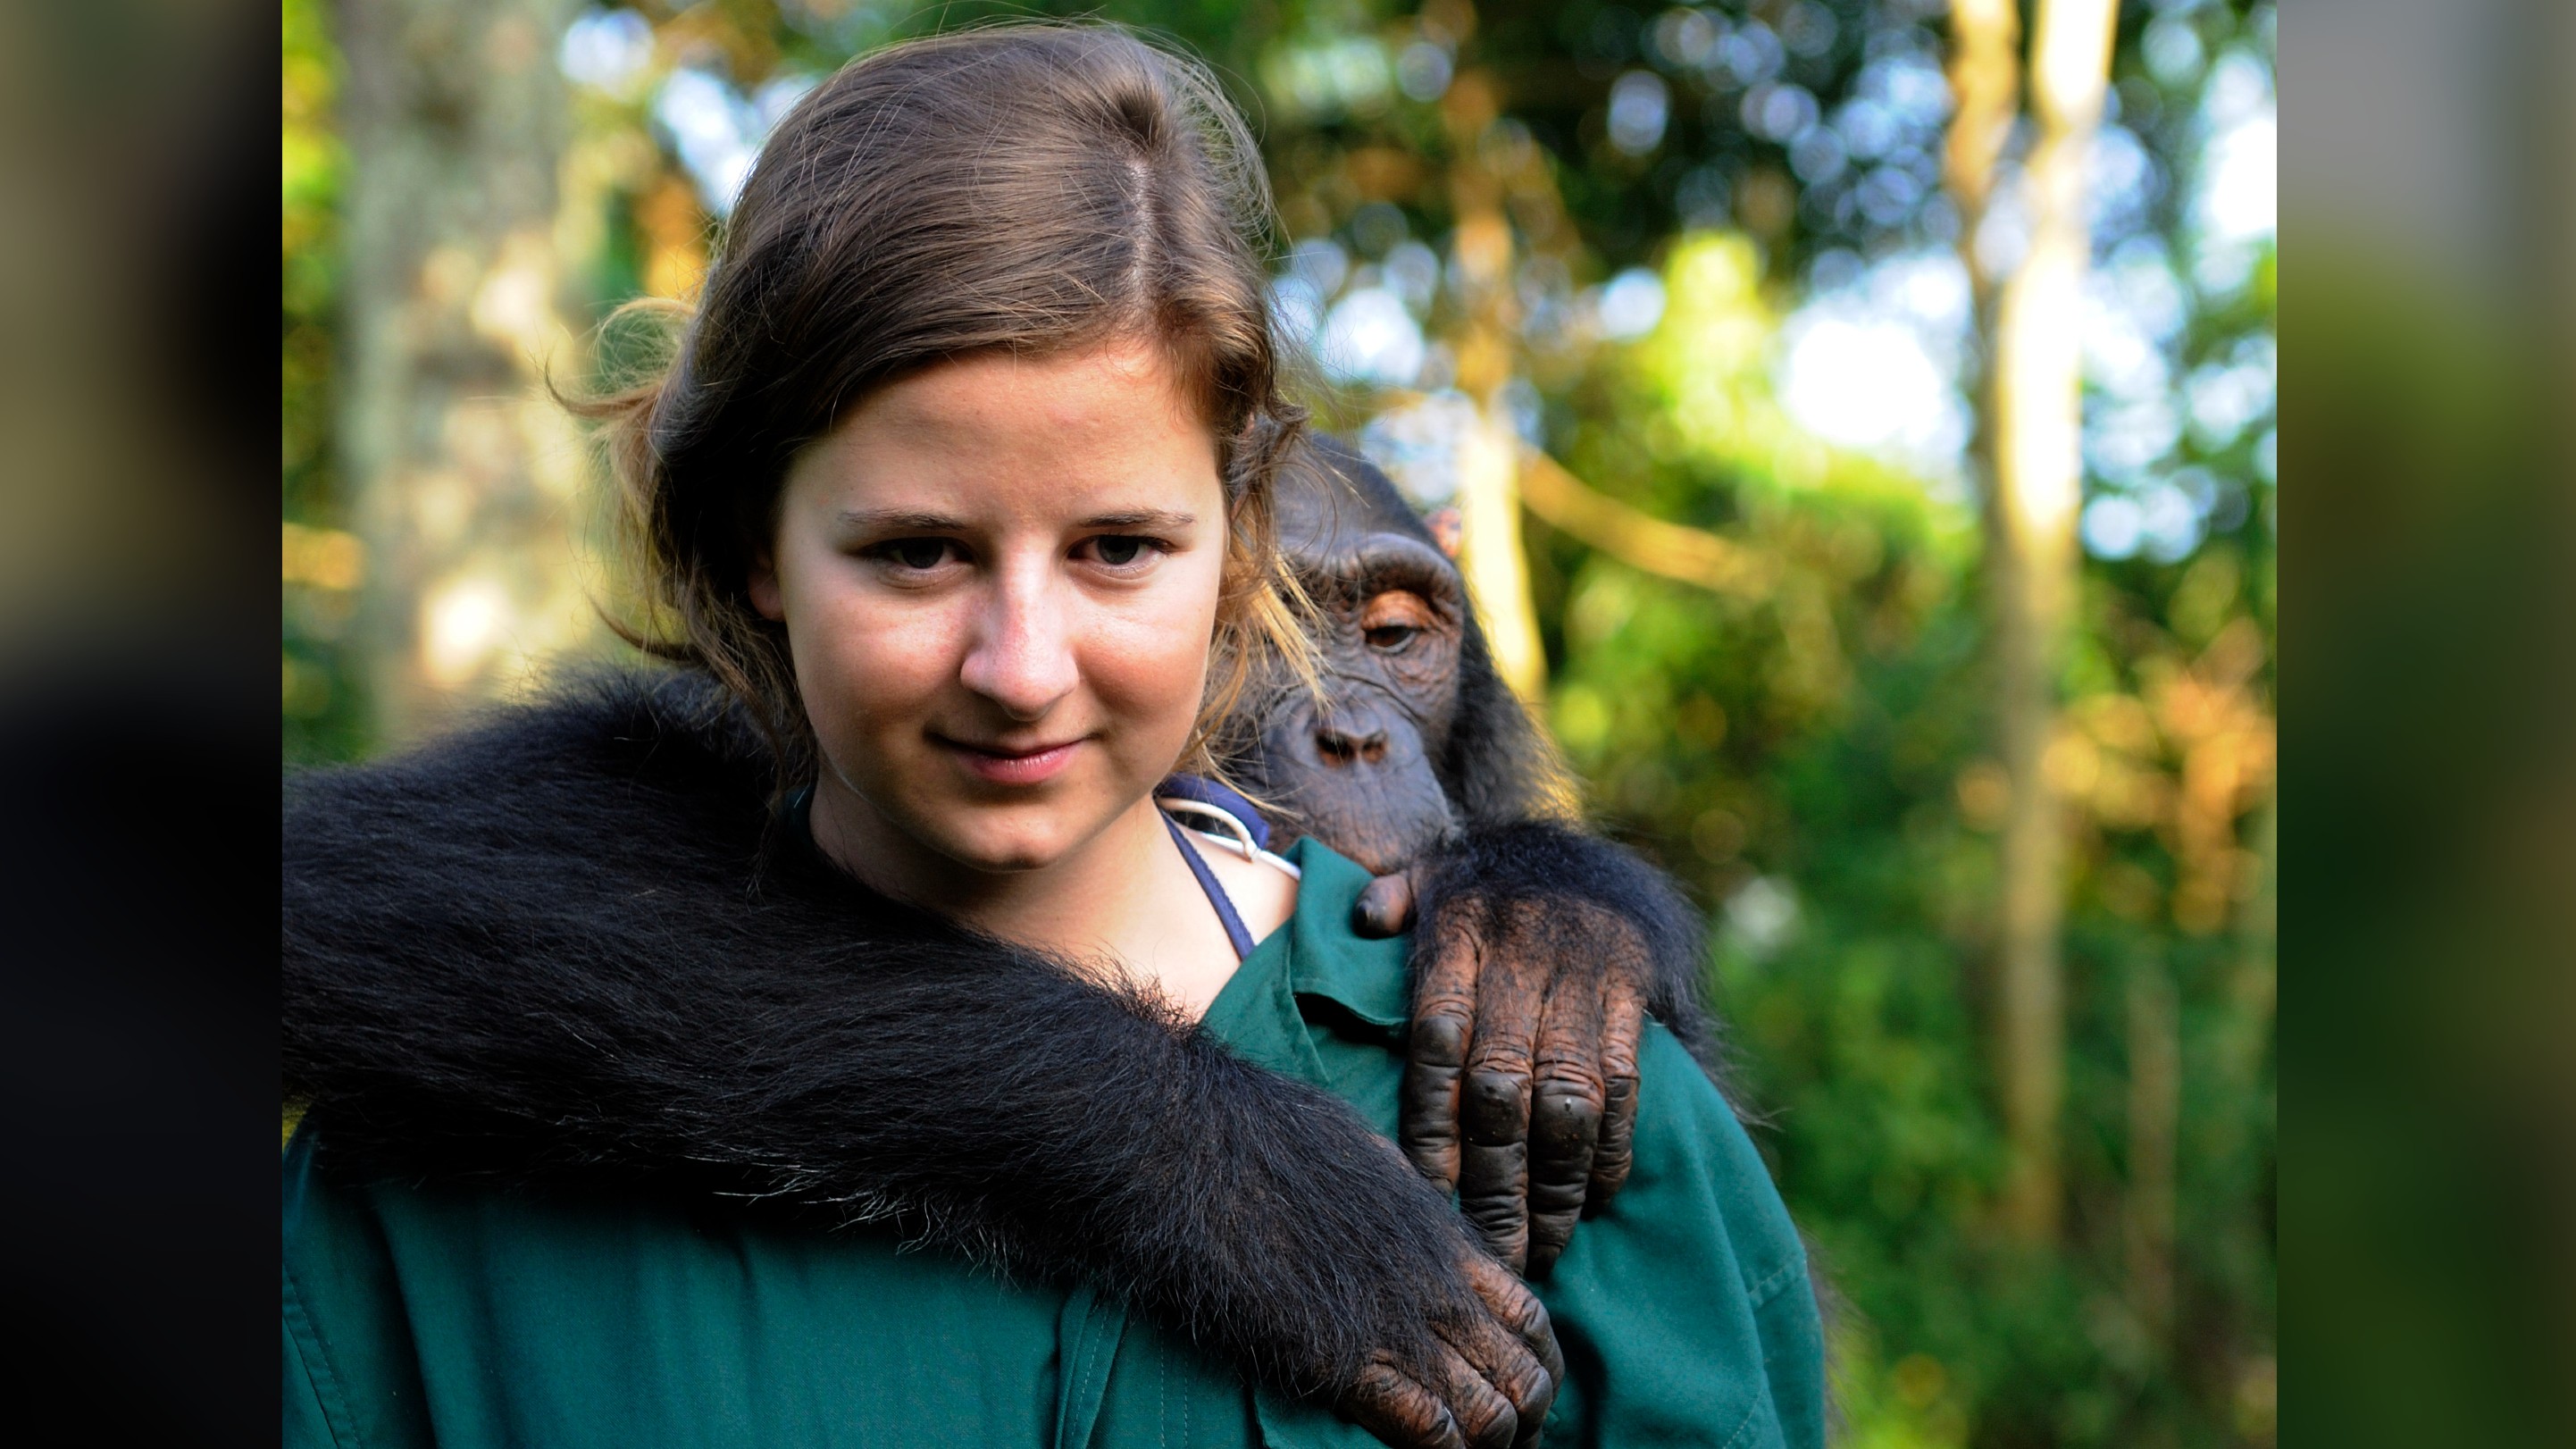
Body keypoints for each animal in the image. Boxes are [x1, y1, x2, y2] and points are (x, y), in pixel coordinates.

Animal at [281, 438, 1720, 1433]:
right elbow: (411, 868)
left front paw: (1550, 936)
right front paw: (1281, 1199)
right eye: (1261, 633)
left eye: (1394, 634)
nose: (1351, 733)